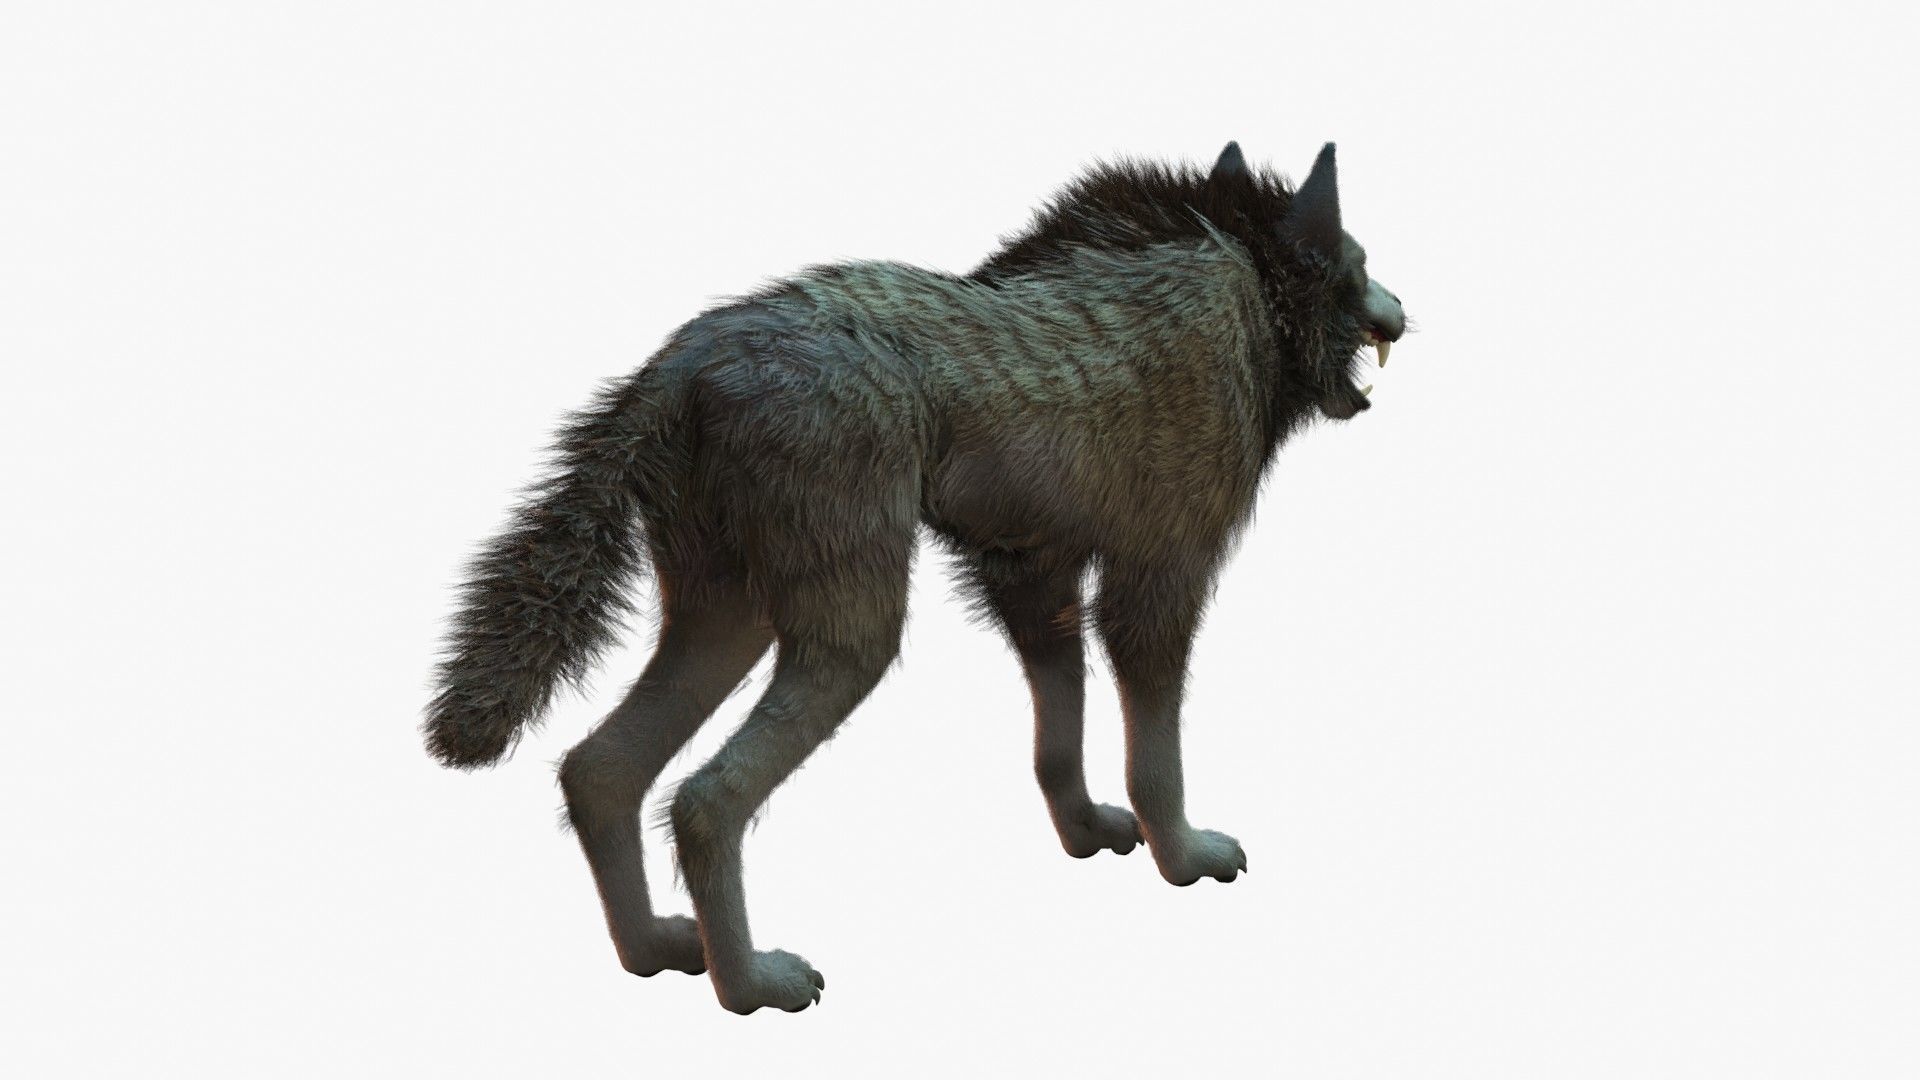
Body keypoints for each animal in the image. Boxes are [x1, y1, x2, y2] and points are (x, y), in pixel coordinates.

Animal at [425, 141, 1408, 1013]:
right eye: (1357, 261)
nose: (1402, 307)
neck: (1248, 282)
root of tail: (686, 358)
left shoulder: (1033, 578)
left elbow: (1059, 738)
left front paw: (1085, 833)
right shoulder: (1157, 580)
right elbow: (1154, 756)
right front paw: (1184, 858)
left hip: (731, 614)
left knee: (600, 768)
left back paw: (658, 950)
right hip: (851, 630)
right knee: (705, 799)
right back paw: (748, 987)